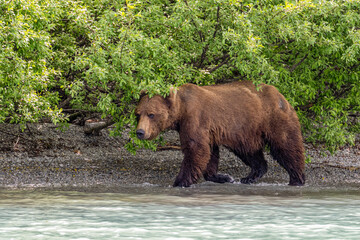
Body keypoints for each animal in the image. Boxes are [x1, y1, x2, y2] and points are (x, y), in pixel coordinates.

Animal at [136, 81, 306, 188]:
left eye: (151, 114)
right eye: (138, 114)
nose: (140, 132)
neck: (181, 110)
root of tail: (280, 94)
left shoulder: (195, 119)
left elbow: (195, 149)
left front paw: (179, 182)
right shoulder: (208, 131)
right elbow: (209, 154)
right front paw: (225, 177)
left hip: (274, 118)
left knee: (286, 146)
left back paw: (297, 178)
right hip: (247, 131)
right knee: (249, 152)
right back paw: (249, 176)